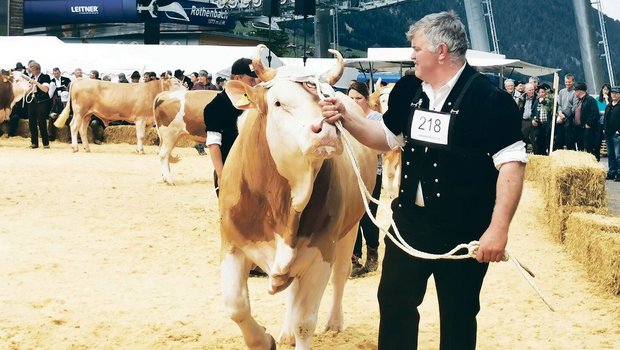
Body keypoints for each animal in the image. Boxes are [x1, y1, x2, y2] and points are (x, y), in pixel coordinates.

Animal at [55, 76, 184, 153]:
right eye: (176, 83)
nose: (186, 90)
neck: (151, 92)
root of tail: (80, 79)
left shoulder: (148, 120)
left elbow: (143, 135)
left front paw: (139, 149)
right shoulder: (140, 118)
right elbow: (140, 135)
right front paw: (141, 150)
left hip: (87, 114)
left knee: (82, 129)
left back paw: (87, 148)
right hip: (79, 111)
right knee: (73, 126)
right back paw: (75, 147)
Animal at [218, 47, 378, 350]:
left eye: (328, 100)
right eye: (278, 103)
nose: (326, 130)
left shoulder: (320, 253)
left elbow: (306, 322)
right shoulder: (233, 244)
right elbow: (235, 306)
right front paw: (265, 339)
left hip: (350, 229)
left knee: (341, 274)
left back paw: (334, 322)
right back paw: (286, 332)